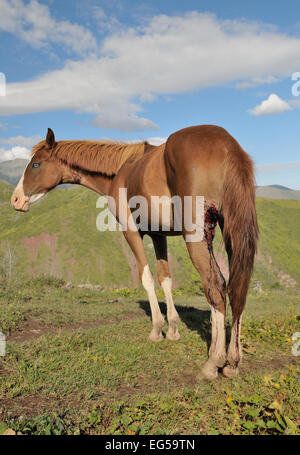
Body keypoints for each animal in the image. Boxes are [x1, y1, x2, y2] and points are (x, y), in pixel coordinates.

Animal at [10, 125, 256, 382]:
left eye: (36, 164)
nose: (16, 199)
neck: (121, 170)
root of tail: (228, 145)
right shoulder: (158, 235)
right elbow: (165, 278)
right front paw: (173, 328)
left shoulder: (131, 232)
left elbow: (146, 278)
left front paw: (157, 329)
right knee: (237, 289)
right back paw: (232, 361)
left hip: (197, 236)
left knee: (216, 286)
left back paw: (214, 361)